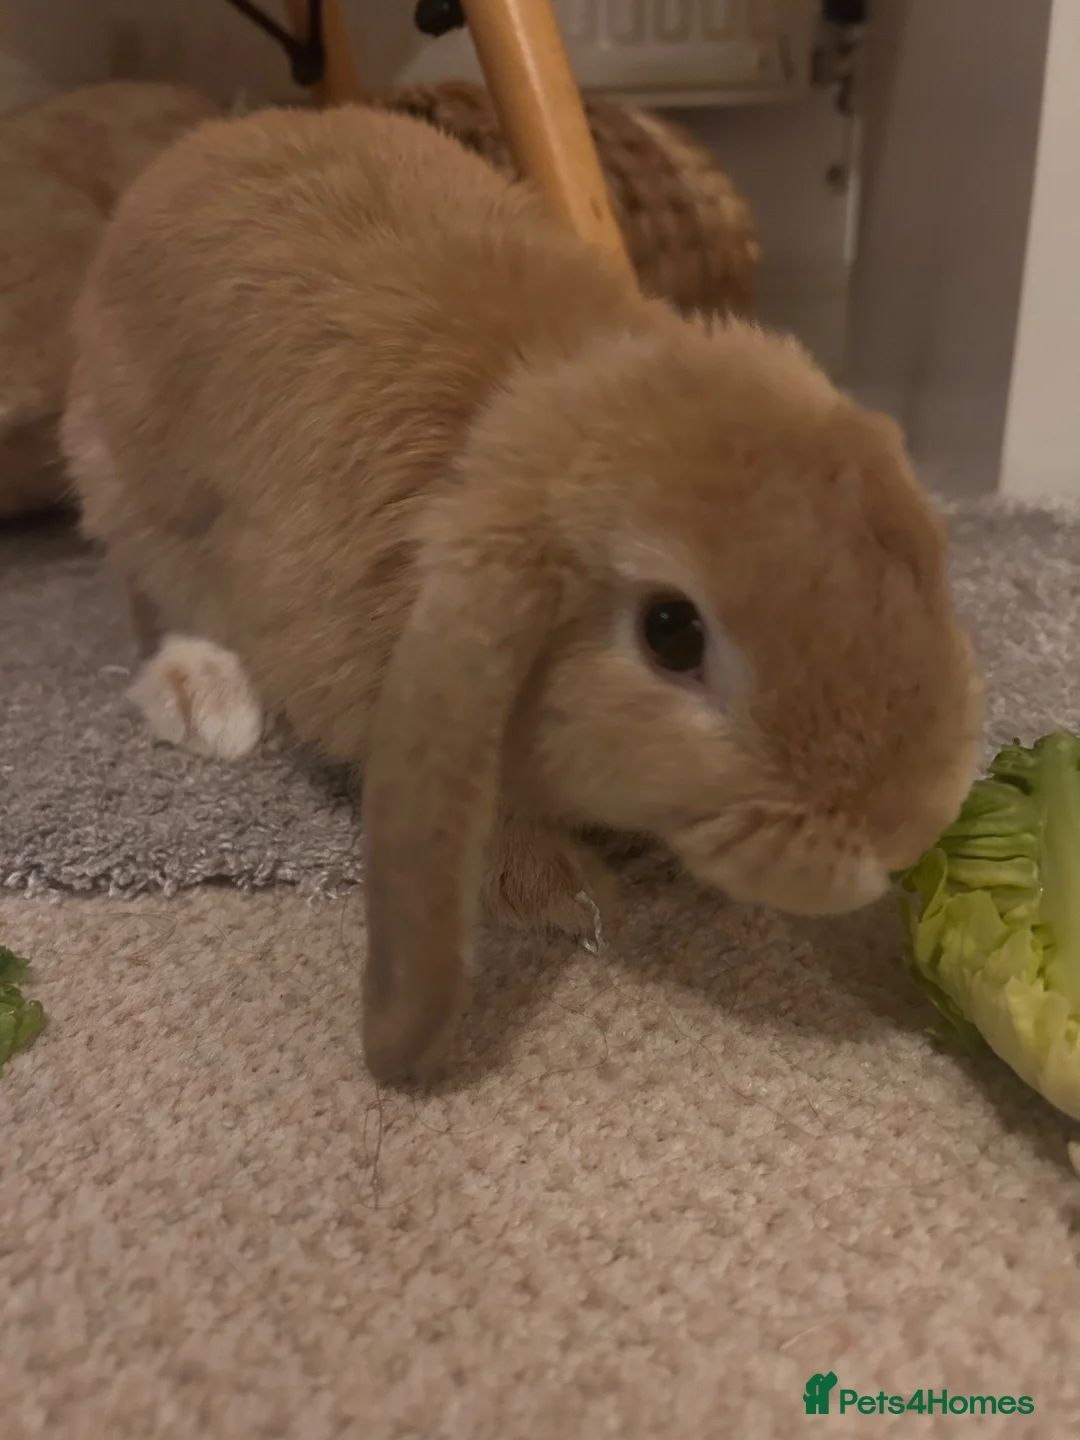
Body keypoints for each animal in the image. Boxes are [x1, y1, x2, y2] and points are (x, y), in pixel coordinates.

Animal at [60, 103, 983, 1084]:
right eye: (671, 634)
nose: (904, 830)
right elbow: (494, 822)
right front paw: (581, 902)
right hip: (125, 488)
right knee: (148, 597)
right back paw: (205, 701)